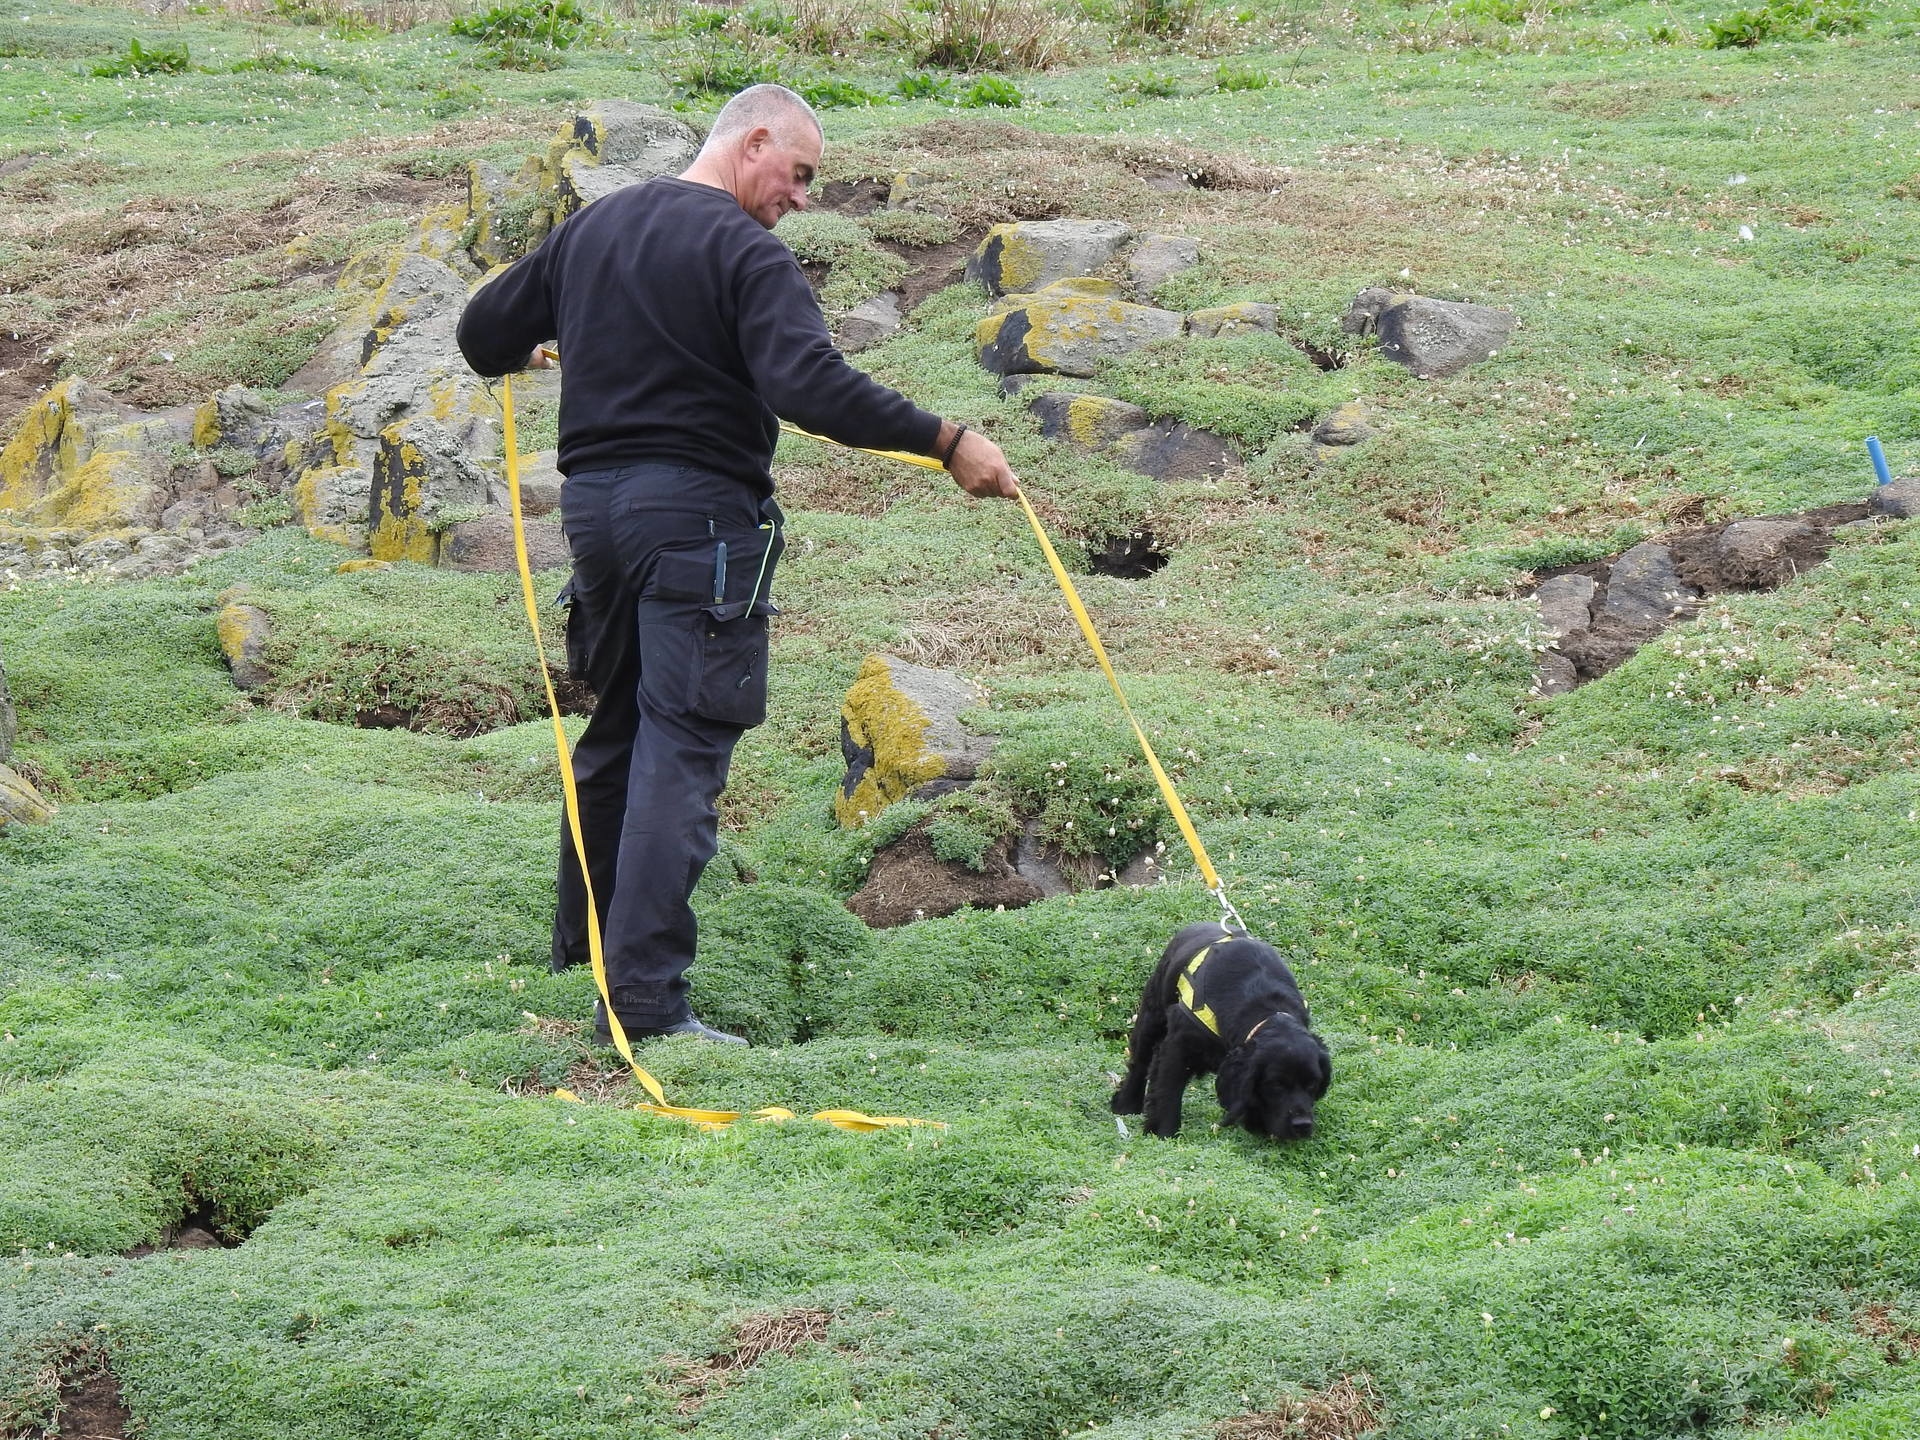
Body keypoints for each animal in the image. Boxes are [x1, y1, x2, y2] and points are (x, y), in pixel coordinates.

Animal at [1121, 929, 1328, 1144]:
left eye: (1313, 1084)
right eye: (1276, 1085)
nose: (1302, 1125)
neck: (1265, 1007)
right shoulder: (1176, 1047)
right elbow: (1167, 1091)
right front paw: (1164, 1134)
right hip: (1153, 1014)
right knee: (1140, 1063)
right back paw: (1125, 1105)